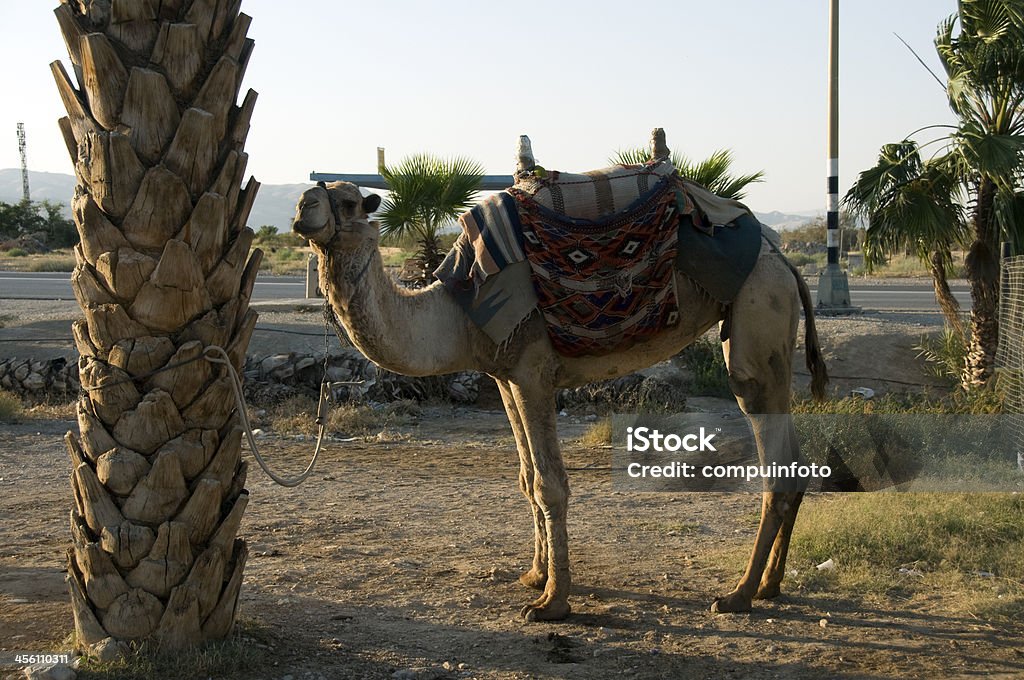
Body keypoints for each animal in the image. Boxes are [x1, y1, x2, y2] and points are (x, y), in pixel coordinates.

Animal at [292, 156, 827, 618]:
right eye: (316, 194)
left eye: (349, 202)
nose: (302, 207)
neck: (455, 313)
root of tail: (785, 261)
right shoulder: (504, 376)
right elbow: (527, 479)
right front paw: (534, 574)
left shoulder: (532, 370)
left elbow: (550, 484)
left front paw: (552, 601)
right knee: (795, 460)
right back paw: (770, 585)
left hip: (757, 316)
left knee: (767, 439)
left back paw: (738, 595)